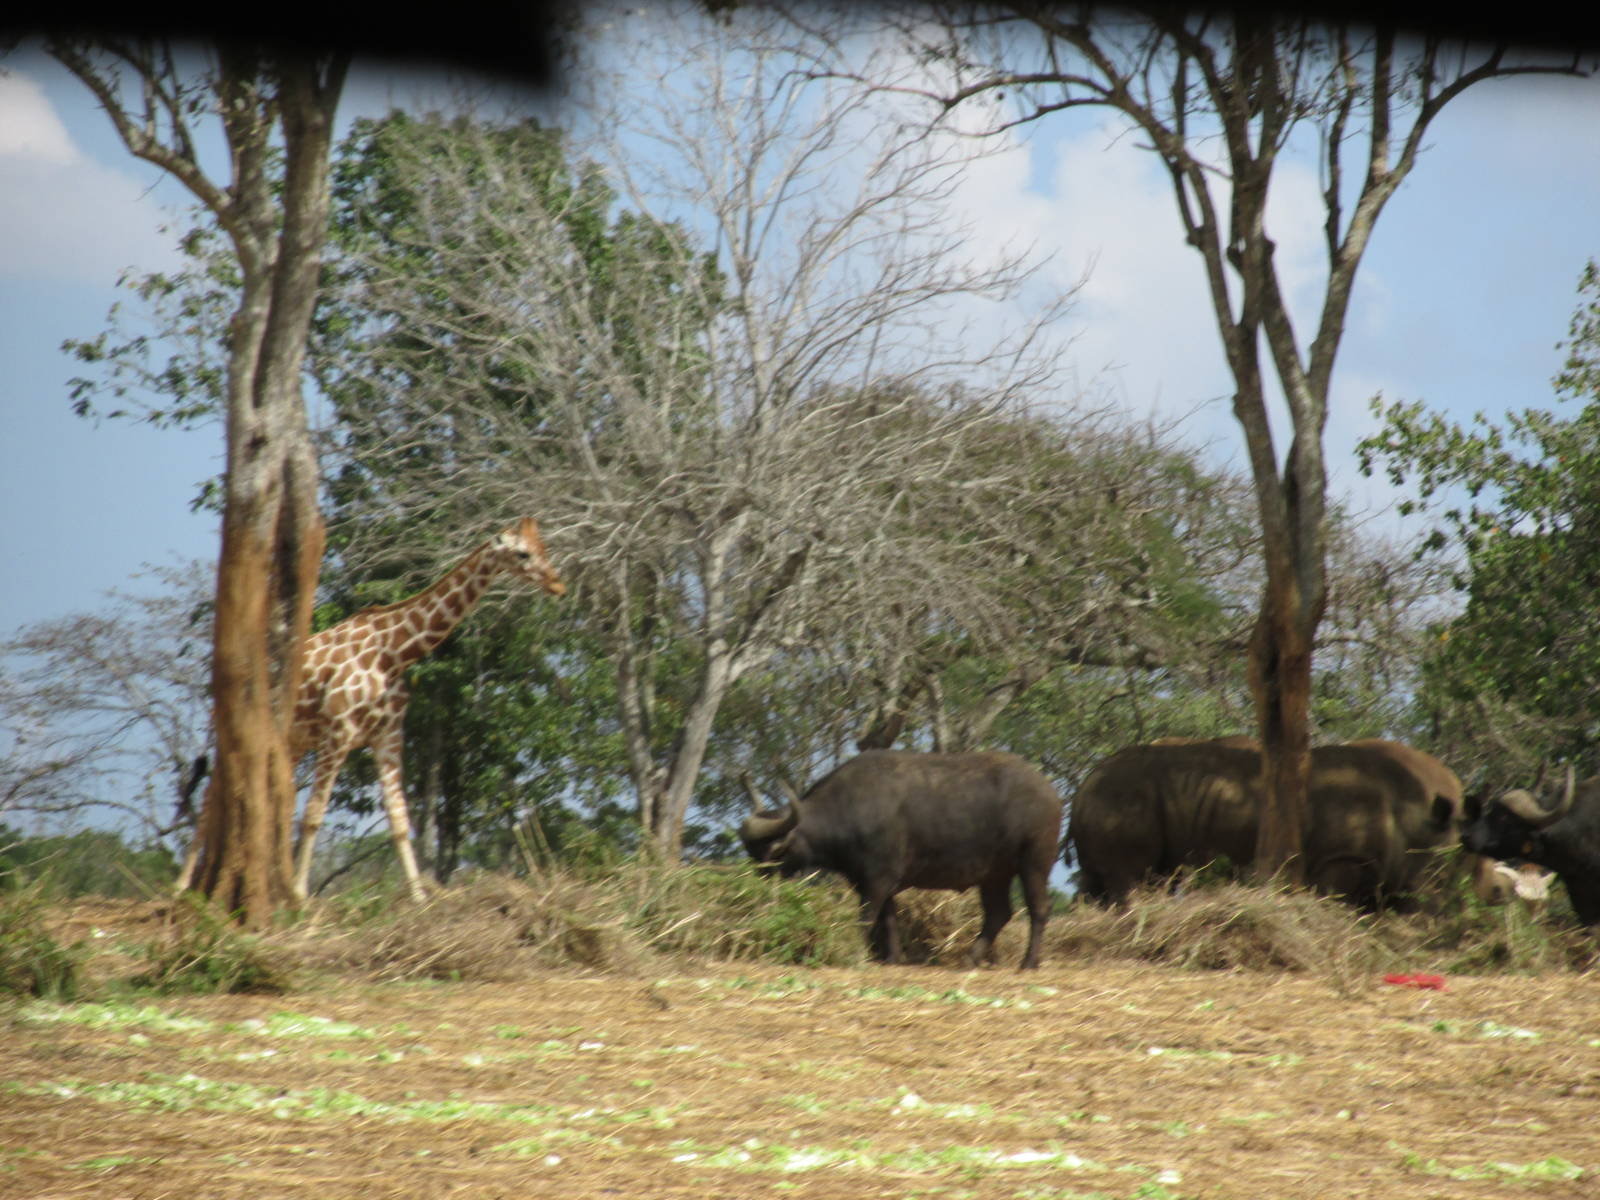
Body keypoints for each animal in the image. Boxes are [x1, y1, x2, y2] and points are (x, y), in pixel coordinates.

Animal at [291, 517, 565, 902]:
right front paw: (300, 896)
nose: (559, 585)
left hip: (295, 744)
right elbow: (314, 814)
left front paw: (419, 898)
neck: (392, 653)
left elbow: (399, 819)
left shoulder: (388, 734)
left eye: (544, 548)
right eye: (523, 553)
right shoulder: (338, 730)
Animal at [738, 750, 1064, 968]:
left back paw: (1029, 962)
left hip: (1034, 863)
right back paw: (970, 959)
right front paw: (893, 957)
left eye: (773, 852)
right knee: (998, 913)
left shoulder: (877, 880)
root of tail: (1050, 792)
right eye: (751, 852)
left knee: (1038, 909)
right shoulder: (876, 881)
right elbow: (889, 920)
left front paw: (859, 952)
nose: (760, 885)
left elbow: (867, 918)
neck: (848, 808)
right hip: (994, 875)